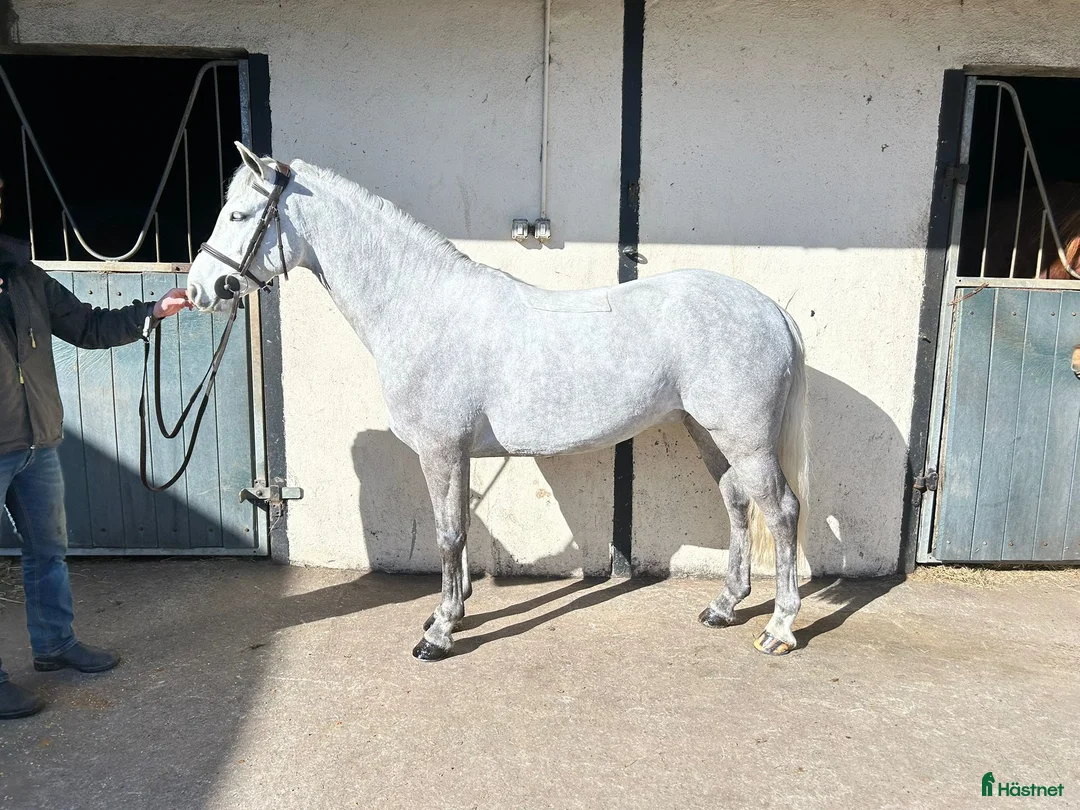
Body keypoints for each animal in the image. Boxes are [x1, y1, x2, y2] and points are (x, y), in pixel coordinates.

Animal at [186, 142, 810, 660]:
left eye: (239, 215)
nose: (198, 289)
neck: (421, 305)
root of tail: (771, 312)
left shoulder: (440, 451)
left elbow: (448, 534)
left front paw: (439, 633)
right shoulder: (456, 454)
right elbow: (459, 529)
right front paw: (452, 613)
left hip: (745, 440)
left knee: (781, 511)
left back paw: (778, 629)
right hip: (709, 433)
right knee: (737, 502)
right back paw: (724, 607)